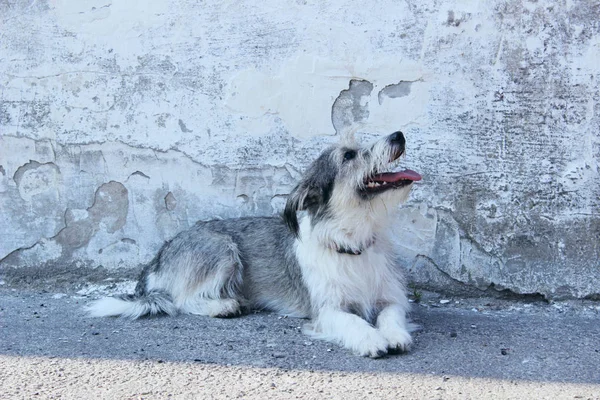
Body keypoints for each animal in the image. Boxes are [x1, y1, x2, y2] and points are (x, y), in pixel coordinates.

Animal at [88, 132, 422, 360]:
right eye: (350, 155)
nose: (398, 135)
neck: (352, 243)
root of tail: (160, 256)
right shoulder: (327, 310)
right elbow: (352, 321)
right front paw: (371, 339)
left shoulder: (390, 298)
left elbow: (390, 315)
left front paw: (394, 335)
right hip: (222, 248)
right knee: (181, 300)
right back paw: (224, 305)